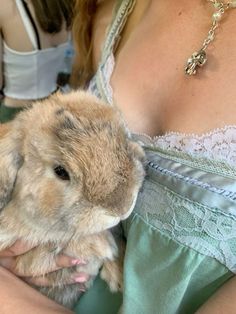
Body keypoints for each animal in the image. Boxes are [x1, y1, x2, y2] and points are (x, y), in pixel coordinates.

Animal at [0, 91, 145, 310]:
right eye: (61, 172)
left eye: (124, 139)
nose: (122, 209)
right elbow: (57, 241)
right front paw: (103, 246)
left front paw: (118, 275)